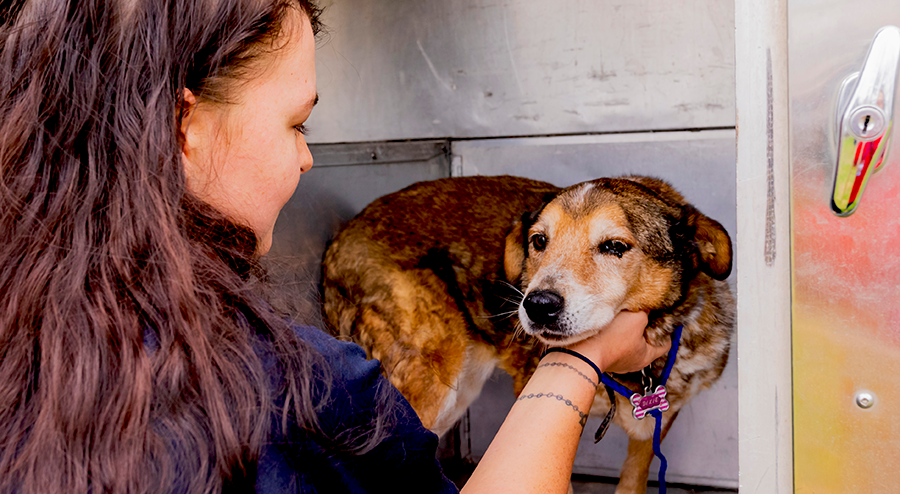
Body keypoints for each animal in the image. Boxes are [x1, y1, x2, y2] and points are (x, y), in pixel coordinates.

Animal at [320, 176, 736, 492]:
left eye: (614, 246)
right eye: (539, 241)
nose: (537, 305)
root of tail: (338, 242)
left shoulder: (653, 428)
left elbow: (632, 481)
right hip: (431, 383)